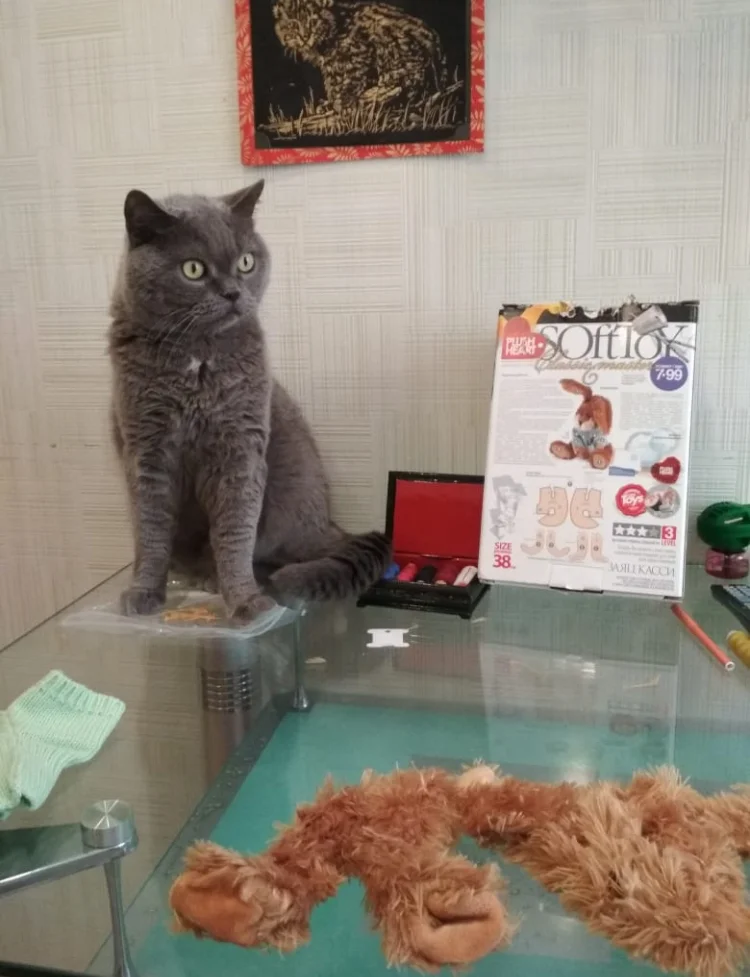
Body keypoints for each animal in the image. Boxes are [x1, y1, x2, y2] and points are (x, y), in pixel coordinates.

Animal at [109, 181, 390, 623]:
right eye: (193, 269)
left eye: (245, 262)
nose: (233, 293)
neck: (198, 360)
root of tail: (330, 524)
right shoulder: (146, 449)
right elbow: (152, 532)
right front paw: (143, 593)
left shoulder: (239, 448)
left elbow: (235, 532)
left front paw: (245, 601)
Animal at [272, 0, 447, 111]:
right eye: (293, 24)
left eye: (313, 21)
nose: (305, 36)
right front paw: (330, 104)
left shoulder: (355, 54)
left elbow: (345, 83)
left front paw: (343, 105)